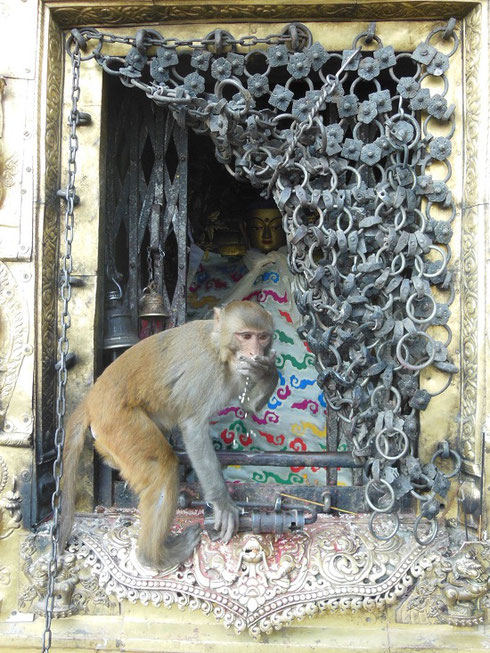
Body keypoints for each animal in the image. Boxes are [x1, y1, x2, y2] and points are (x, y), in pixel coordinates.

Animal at [58, 298, 276, 568]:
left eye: (263, 337)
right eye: (245, 336)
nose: (255, 353)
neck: (220, 350)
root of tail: (90, 399)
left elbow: (248, 406)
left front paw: (268, 370)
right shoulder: (206, 371)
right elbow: (193, 427)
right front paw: (223, 504)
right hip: (118, 421)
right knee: (160, 469)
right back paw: (153, 556)